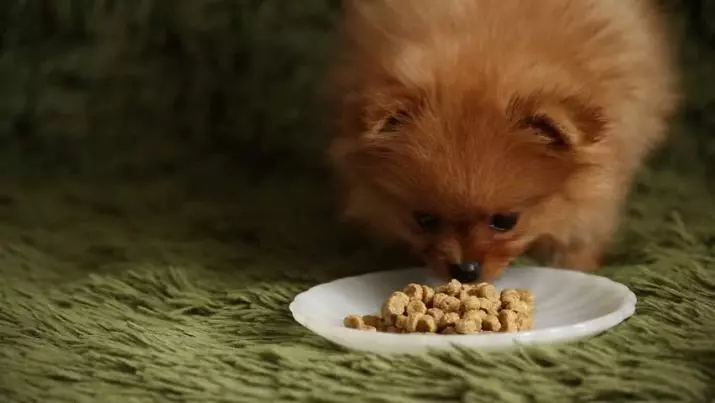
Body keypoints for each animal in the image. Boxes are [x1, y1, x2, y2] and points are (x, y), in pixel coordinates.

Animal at [328, 0, 680, 284]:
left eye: (506, 221)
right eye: (424, 220)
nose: (465, 270)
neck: (486, 53)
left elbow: (580, 238)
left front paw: (574, 269)